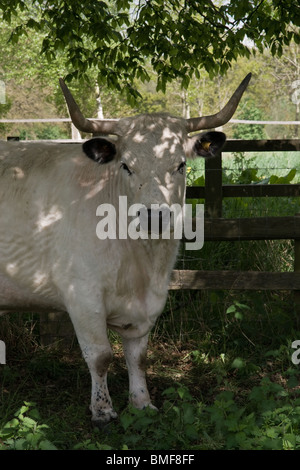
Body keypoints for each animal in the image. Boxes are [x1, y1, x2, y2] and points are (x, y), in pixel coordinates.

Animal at [0, 72, 251, 426]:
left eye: (180, 165)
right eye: (126, 166)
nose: (154, 215)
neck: (142, 266)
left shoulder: (147, 305)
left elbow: (139, 357)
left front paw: (142, 402)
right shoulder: (83, 296)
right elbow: (101, 356)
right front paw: (102, 410)